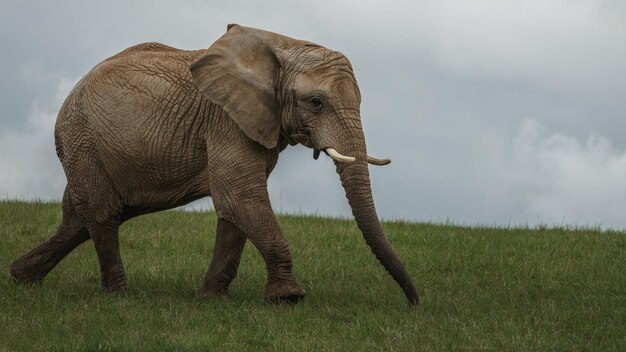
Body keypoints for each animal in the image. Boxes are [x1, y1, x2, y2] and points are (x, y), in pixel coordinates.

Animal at [9, 24, 416, 306]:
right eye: (316, 103)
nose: (414, 302)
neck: (283, 46)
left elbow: (236, 205)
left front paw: (211, 299)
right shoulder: (226, 119)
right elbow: (240, 194)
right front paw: (288, 298)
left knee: (80, 217)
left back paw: (21, 279)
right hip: (81, 138)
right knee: (102, 212)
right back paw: (118, 296)